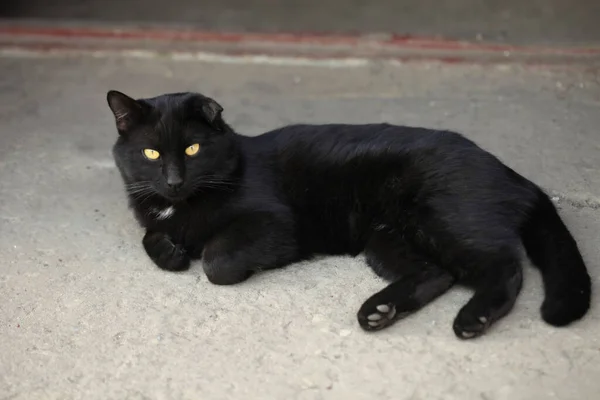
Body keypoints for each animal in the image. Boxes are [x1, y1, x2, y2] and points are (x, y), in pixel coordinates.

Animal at [106, 90, 592, 338]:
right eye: (151, 153)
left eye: (192, 148)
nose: (172, 180)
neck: (186, 203)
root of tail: (510, 173)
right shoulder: (154, 214)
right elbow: (150, 236)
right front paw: (170, 252)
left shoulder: (272, 224)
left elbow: (216, 260)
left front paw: (201, 256)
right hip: (387, 237)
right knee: (437, 274)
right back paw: (380, 312)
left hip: (445, 218)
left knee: (504, 266)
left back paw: (475, 319)